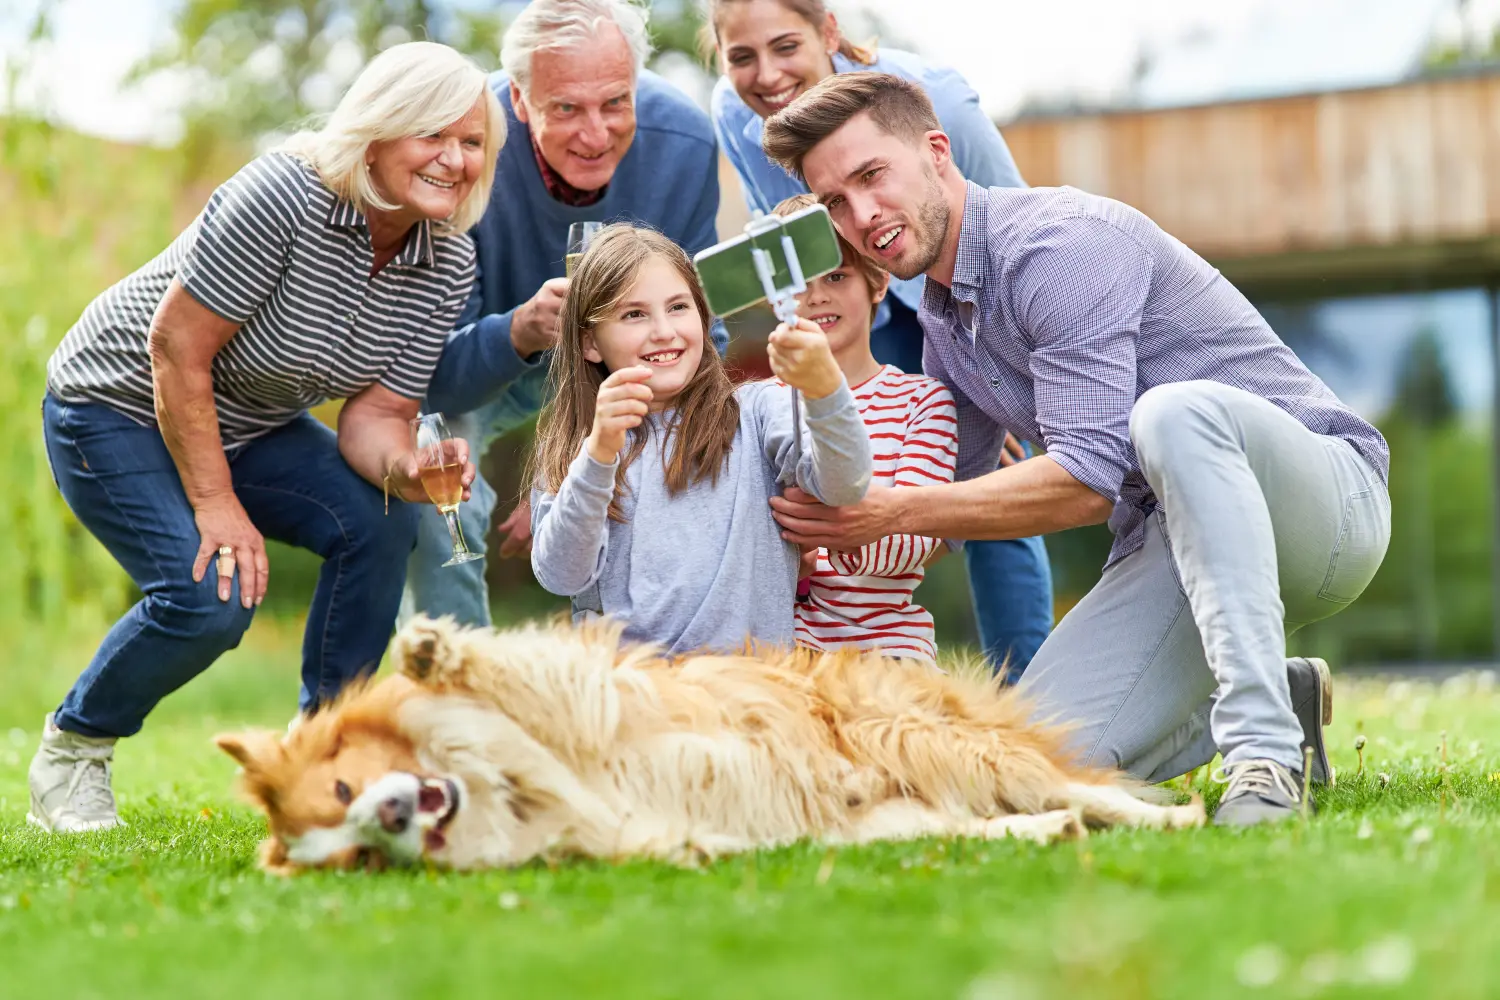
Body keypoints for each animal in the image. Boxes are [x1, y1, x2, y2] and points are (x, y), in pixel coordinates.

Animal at [217, 614, 1200, 869]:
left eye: (344, 793)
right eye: (356, 856)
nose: (392, 818)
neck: (511, 791)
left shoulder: (589, 701)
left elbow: (499, 677)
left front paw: (429, 649)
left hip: (922, 738)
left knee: (1082, 788)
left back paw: (1175, 820)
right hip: (884, 824)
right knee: (980, 826)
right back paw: (1044, 833)